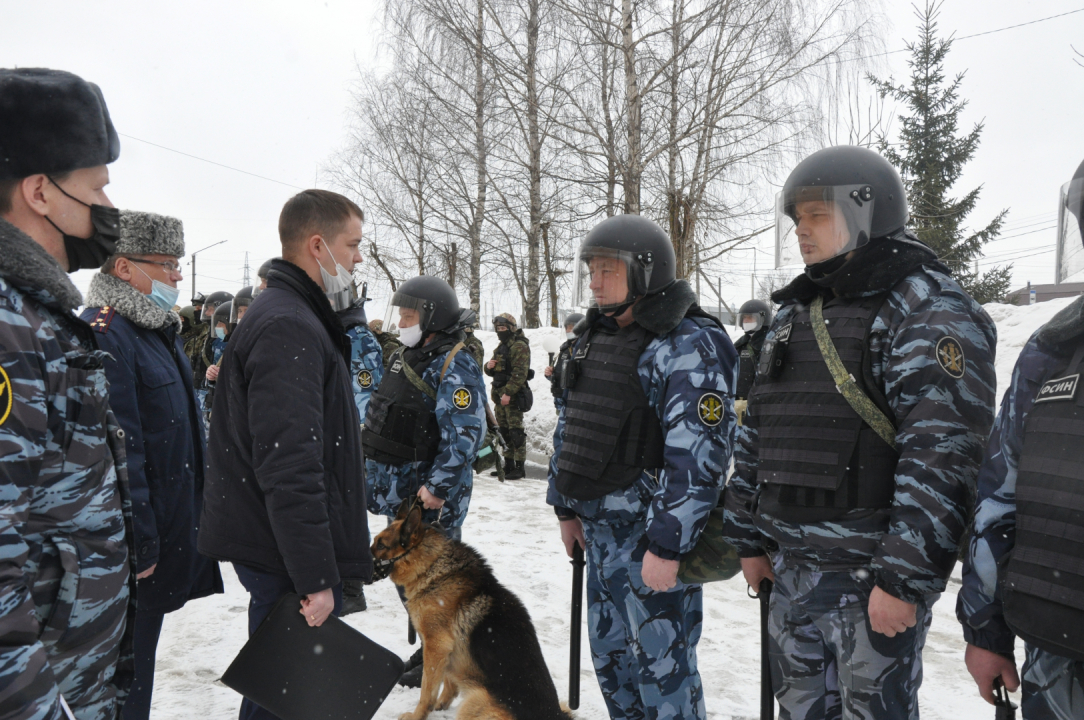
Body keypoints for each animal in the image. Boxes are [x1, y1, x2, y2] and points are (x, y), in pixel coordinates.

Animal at [372, 500, 572, 720]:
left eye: (381, 546)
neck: (433, 566)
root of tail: (555, 715)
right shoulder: (447, 651)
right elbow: (449, 682)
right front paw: (441, 705)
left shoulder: (436, 645)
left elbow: (427, 691)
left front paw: (418, 715)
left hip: (474, 700)